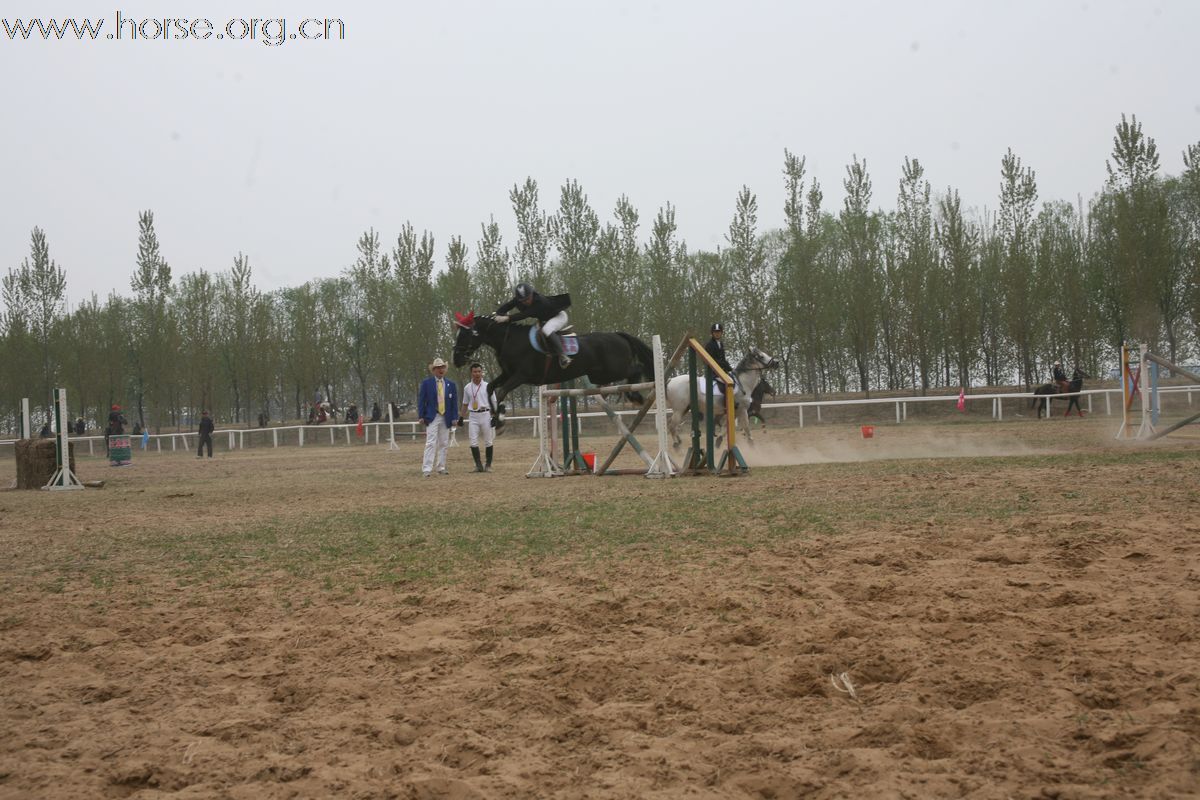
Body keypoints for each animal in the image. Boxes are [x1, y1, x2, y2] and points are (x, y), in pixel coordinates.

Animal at [451, 311, 657, 431]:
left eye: (465, 334)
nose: (456, 359)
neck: (509, 340)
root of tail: (617, 335)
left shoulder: (521, 376)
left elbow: (501, 391)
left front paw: (500, 418)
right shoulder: (508, 374)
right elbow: (490, 388)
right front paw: (495, 417)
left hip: (613, 369)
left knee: (636, 369)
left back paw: (635, 396)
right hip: (600, 373)